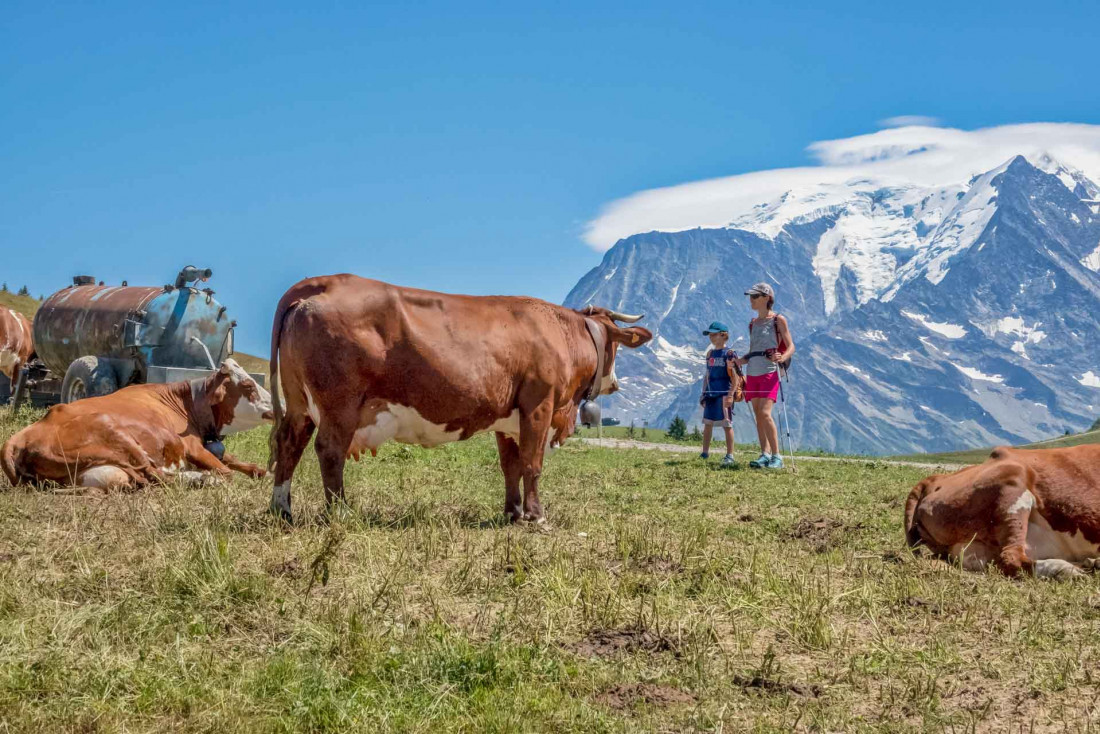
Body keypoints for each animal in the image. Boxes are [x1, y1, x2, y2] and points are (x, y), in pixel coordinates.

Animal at [2, 359, 273, 490]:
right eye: (248, 385)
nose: (275, 404)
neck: (184, 404)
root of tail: (18, 438)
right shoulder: (192, 446)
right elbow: (226, 471)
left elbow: (235, 460)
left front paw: (263, 472)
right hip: (120, 438)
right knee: (156, 475)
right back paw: (201, 479)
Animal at [267, 274, 653, 523]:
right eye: (616, 346)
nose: (616, 383)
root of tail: (322, 281)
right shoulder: (539, 407)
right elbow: (532, 464)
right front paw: (536, 516)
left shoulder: (508, 420)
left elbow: (511, 466)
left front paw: (513, 513)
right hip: (340, 403)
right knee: (329, 450)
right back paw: (340, 513)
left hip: (299, 403)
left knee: (290, 444)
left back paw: (282, 510)